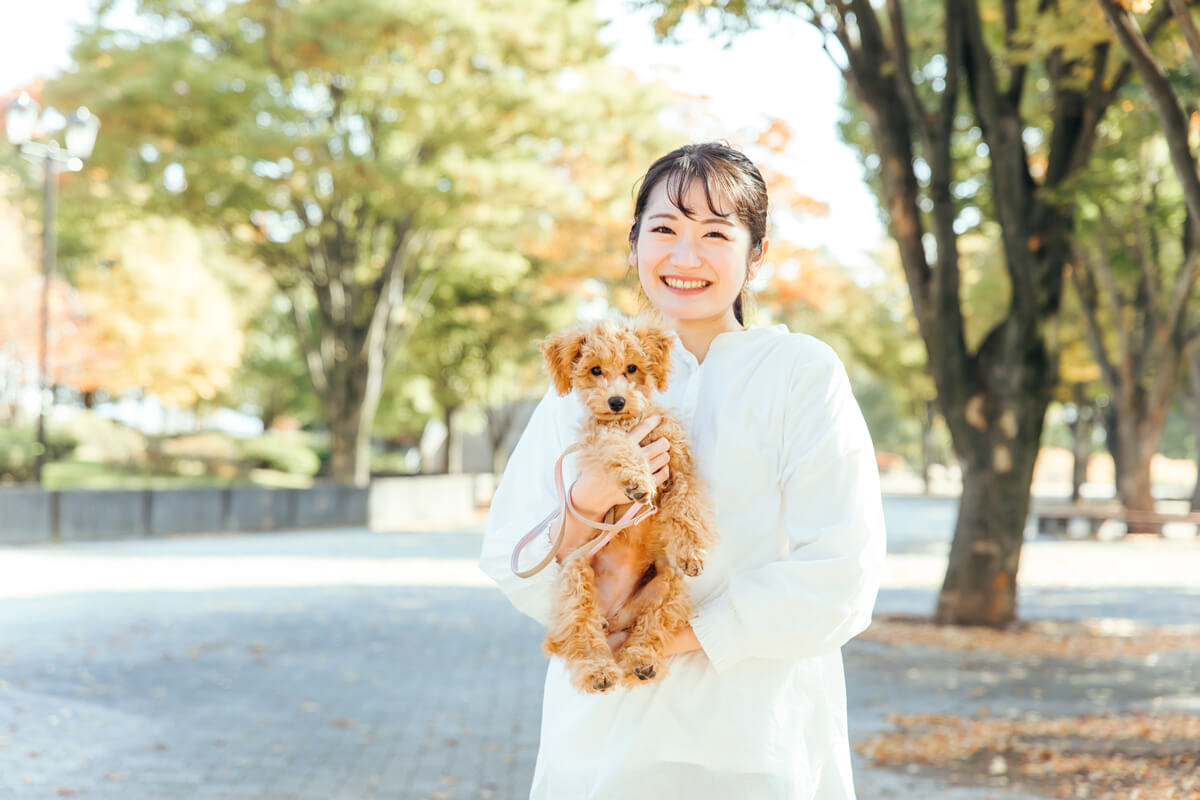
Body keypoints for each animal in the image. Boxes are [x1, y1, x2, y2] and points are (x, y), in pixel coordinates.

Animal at [540, 319, 715, 695]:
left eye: (632, 368)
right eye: (595, 370)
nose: (616, 401)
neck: (629, 421)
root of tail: (613, 616)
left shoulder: (680, 469)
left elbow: (687, 508)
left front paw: (691, 552)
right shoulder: (600, 440)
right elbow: (620, 448)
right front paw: (636, 479)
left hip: (667, 588)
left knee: (650, 630)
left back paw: (642, 662)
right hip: (575, 576)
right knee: (582, 636)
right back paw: (598, 672)